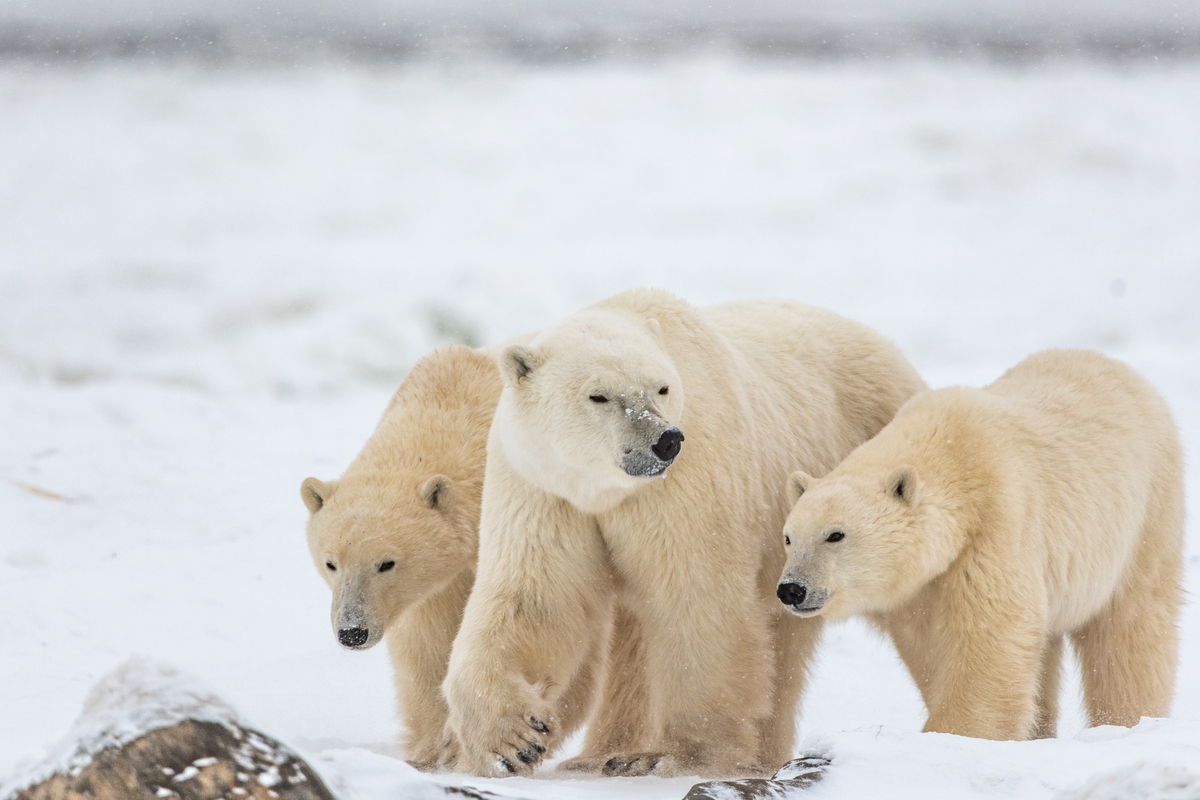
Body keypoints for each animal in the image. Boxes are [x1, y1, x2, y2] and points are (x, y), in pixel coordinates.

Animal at [301, 345, 612, 770]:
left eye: (386, 563)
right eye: (331, 563)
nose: (352, 632)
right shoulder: (436, 586)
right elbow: (426, 649)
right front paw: (434, 749)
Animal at [441, 288, 928, 778]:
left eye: (662, 387)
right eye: (598, 395)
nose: (665, 440)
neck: (607, 492)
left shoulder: (686, 484)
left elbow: (696, 600)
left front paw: (680, 755)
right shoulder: (545, 488)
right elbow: (535, 598)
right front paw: (513, 740)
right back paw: (600, 757)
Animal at [777, 348, 1184, 741]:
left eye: (835, 534)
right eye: (788, 537)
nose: (791, 589)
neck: (950, 456)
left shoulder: (996, 521)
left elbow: (990, 634)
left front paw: (951, 735)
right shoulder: (921, 586)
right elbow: (931, 646)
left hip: (1144, 514)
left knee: (1129, 628)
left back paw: (1125, 721)